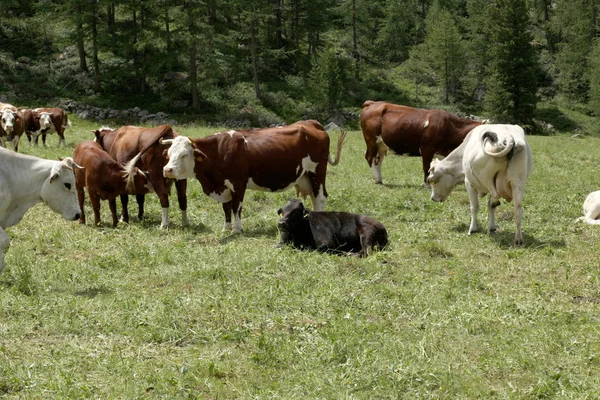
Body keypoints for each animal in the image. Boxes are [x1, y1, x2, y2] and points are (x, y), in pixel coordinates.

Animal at [161, 120, 346, 233]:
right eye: (169, 154)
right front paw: (226, 228)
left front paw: (237, 229)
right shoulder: (224, 186)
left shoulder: (238, 183)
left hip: (317, 172)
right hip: (306, 176)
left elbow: (236, 207)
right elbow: (226, 207)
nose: (167, 169)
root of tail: (310, 123)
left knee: (320, 197)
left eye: (184, 154)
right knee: (315, 198)